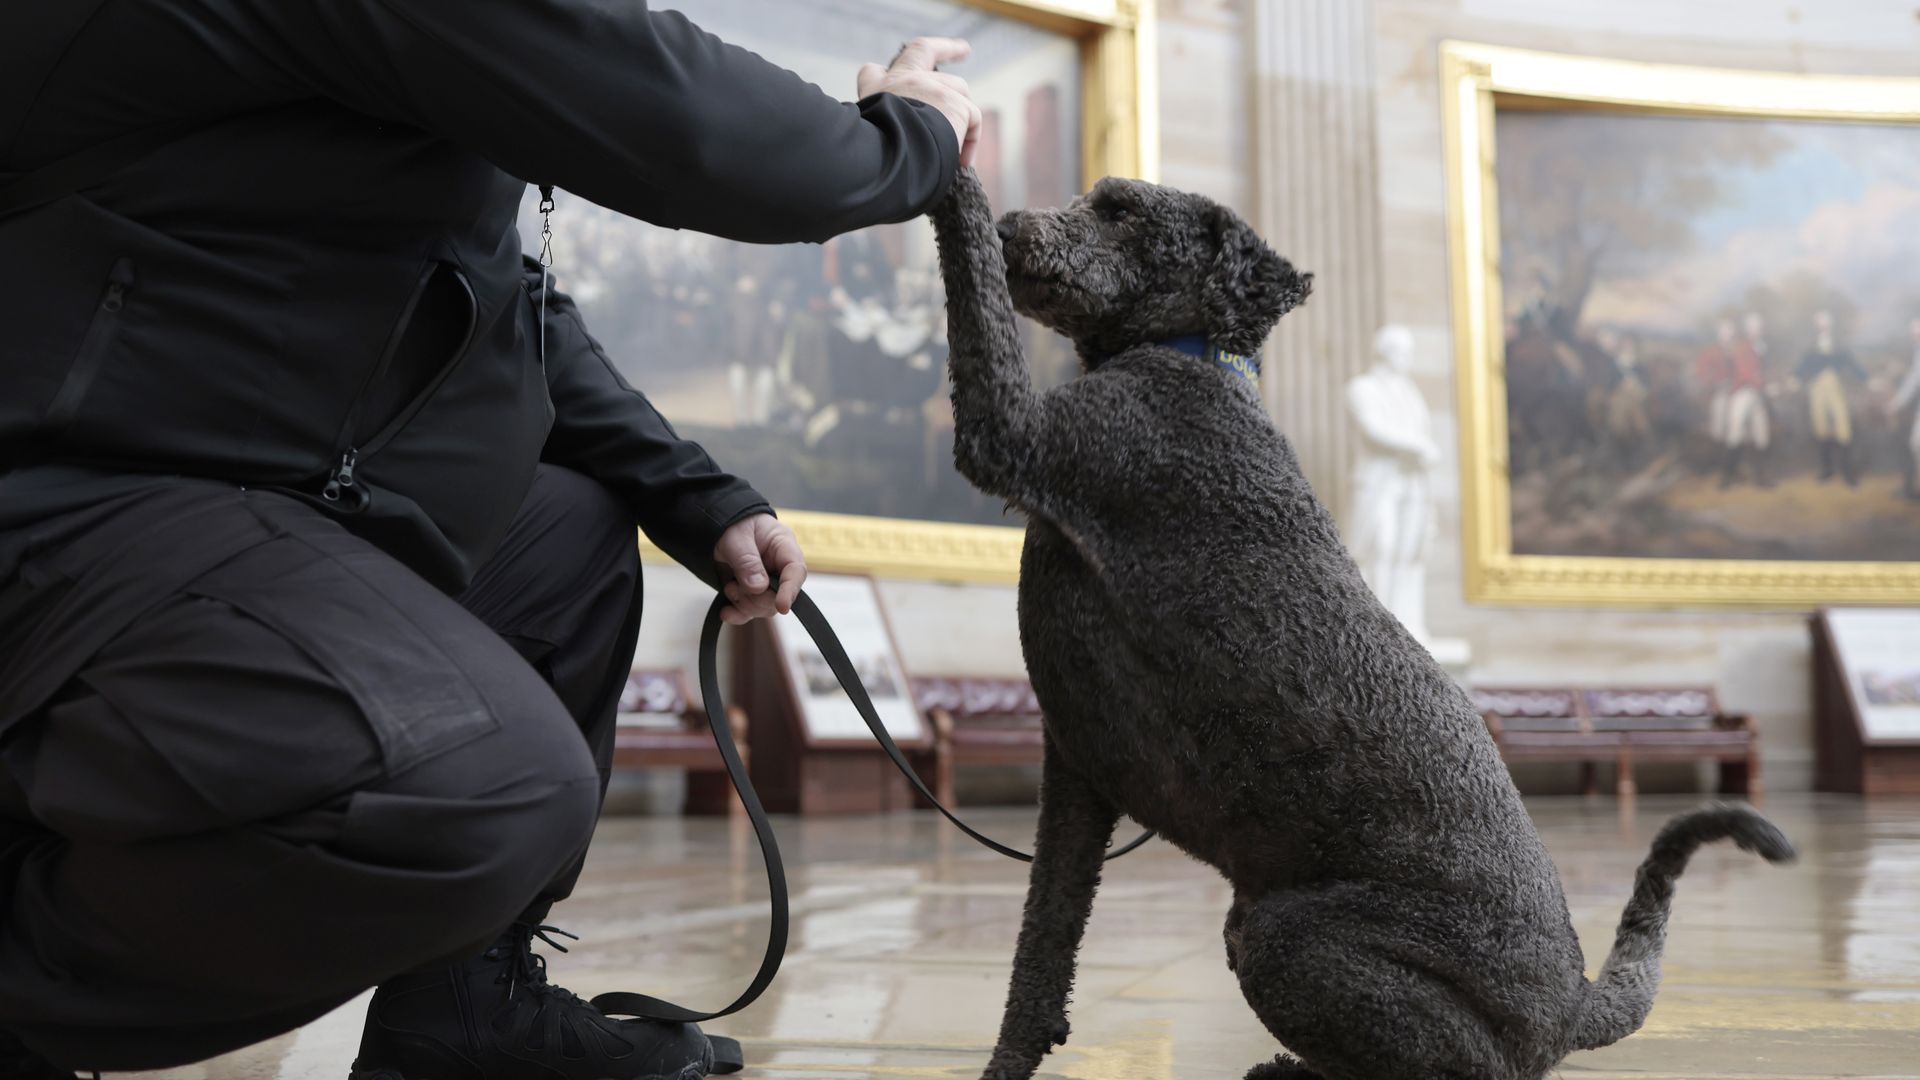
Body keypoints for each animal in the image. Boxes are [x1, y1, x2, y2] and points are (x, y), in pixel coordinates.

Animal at [921, 168, 1789, 1076]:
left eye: (1119, 209)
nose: (1017, 226)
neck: (1194, 352)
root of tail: (1571, 1006)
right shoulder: (1077, 773)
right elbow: (1037, 967)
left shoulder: (1016, 429)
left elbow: (971, 285)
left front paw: (948, 166)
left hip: (1288, 938)